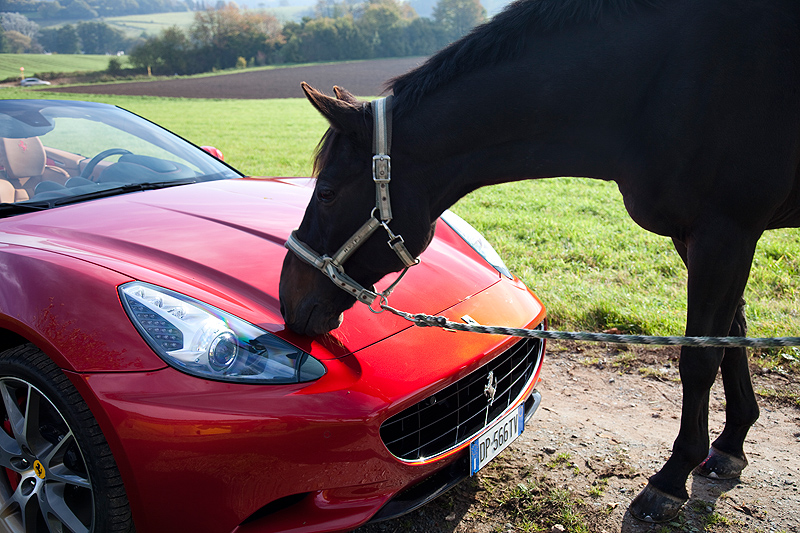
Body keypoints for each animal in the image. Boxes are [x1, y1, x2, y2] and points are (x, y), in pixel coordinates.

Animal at [280, 0, 800, 524]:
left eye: (326, 192)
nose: (288, 297)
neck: (654, 88)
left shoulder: (724, 231)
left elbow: (700, 356)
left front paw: (671, 480)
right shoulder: (698, 236)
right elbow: (732, 335)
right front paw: (730, 444)